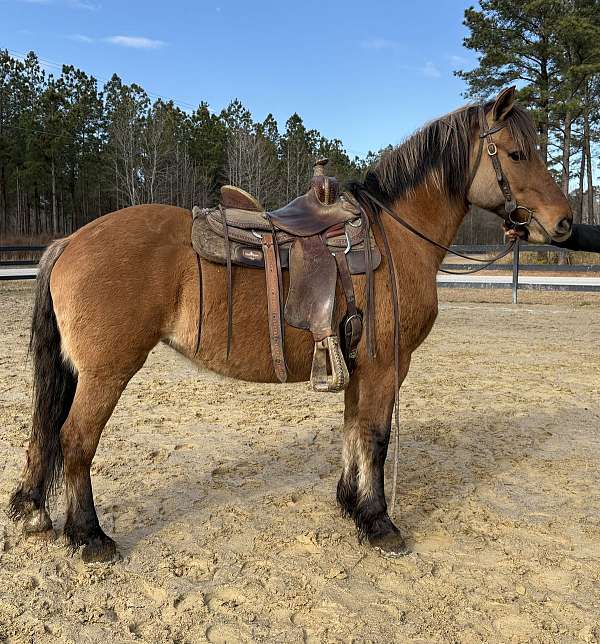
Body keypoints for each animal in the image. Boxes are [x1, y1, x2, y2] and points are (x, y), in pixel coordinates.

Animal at [9, 88, 572, 560]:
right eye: (518, 154)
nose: (564, 222)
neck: (395, 235)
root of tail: (70, 241)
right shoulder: (386, 366)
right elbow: (376, 436)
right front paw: (378, 523)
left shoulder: (358, 364)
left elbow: (352, 429)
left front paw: (350, 503)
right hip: (106, 371)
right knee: (75, 439)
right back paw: (90, 537)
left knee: (50, 435)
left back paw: (39, 513)